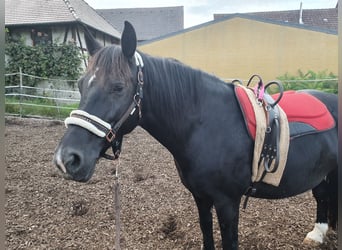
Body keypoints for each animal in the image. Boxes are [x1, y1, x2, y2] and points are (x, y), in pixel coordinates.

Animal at [54, 22, 338, 250]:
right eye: (80, 84)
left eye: (118, 87)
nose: (67, 159)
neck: (205, 125)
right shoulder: (201, 198)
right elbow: (206, 234)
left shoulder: (227, 203)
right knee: (323, 196)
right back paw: (318, 233)